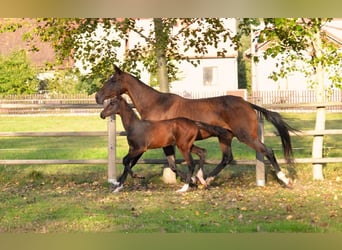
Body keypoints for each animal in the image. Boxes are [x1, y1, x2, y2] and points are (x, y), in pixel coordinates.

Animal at [101, 95, 230, 191]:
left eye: (112, 103)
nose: (102, 114)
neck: (135, 126)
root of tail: (194, 122)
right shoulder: (134, 149)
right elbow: (128, 163)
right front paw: (118, 187)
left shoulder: (140, 148)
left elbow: (125, 160)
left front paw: (137, 176)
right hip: (188, 145)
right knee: (202, 152)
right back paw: (201, 180)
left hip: (183, 146)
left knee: (191, 163)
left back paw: (185, 188)